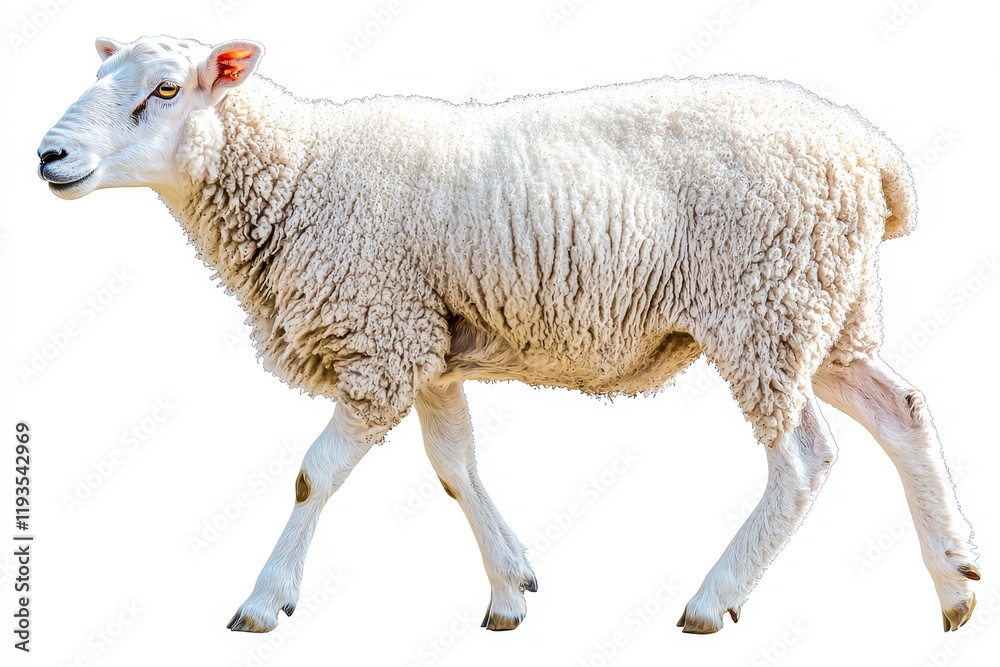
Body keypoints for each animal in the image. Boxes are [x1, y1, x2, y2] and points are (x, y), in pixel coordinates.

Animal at [37, 35, 979, 636]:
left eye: (164, 90)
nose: (48, 155)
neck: (302, 171)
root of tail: (873, 154)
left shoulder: (383, 341)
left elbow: (315, 474)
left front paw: (265, 601)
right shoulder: (429, 349)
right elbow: (456, 468)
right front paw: (510, 588)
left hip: (763, 308)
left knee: (804, 462)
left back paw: (714, 600)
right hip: (828, 309)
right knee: (903, 410)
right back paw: (955, 581)